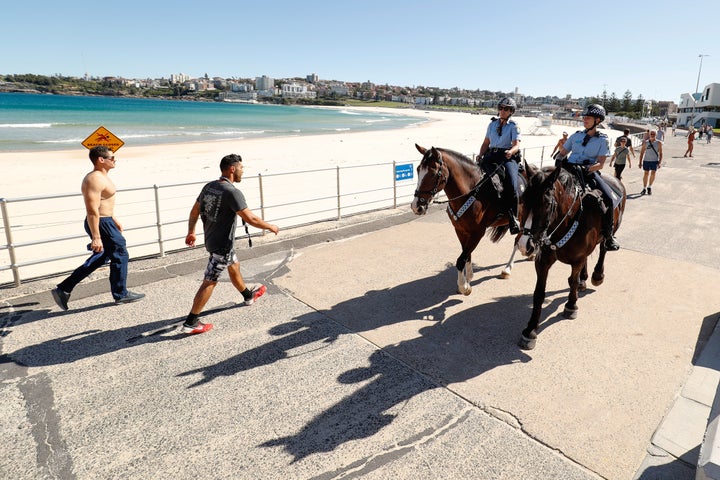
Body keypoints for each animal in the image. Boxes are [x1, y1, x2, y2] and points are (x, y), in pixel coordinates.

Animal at [410, 142, 536, 294]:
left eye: (433, 173)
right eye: (418, 170)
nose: (416, 206)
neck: (472, 191)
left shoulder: (477, 233)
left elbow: (461, 259)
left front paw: (463, 287)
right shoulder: (461, 230)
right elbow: (466, 254)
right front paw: (468, 278)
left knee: (518, 241)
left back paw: (507, 269)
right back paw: (531, 254)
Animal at [516, 165, 624, 348]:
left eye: (547, 203)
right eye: (524, 200)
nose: (525, 245)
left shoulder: (577, 259)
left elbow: (571, 281)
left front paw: (571, 306)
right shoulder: (543, 261)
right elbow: (539, 293)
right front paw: (530, 330)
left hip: (610, 231)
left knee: (603, 249)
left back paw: (597, 275)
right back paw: (583, 279)